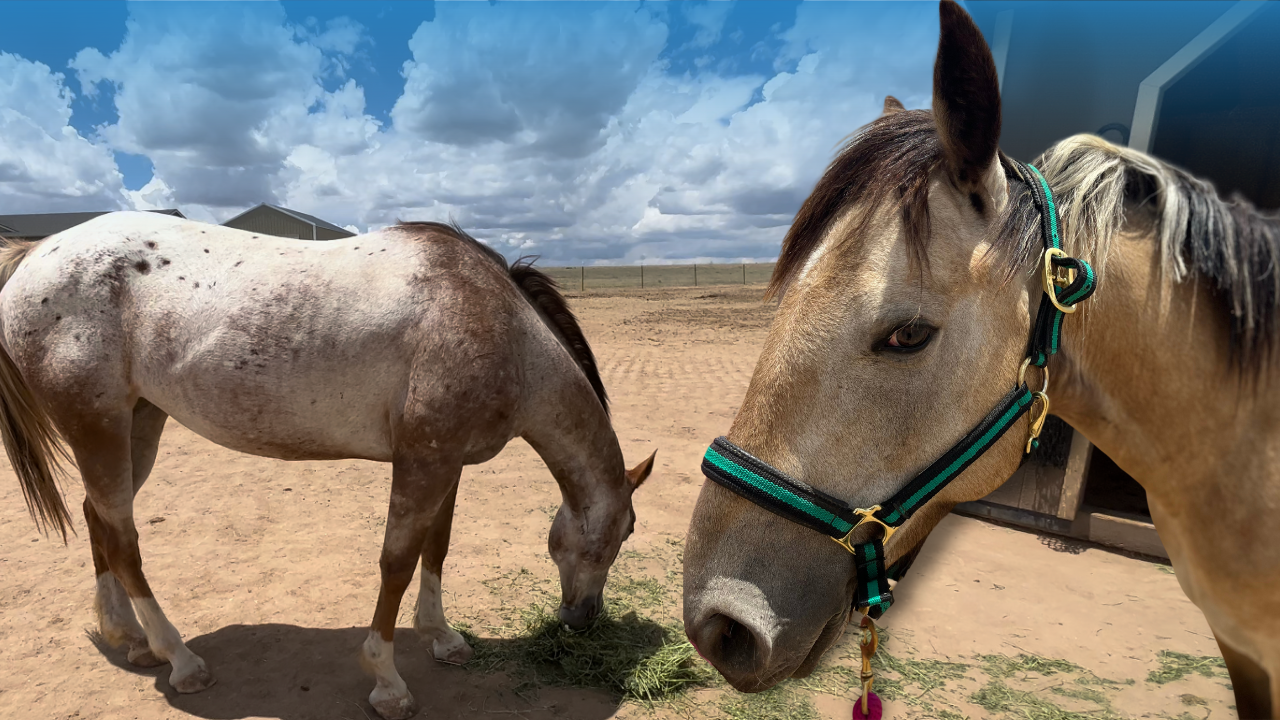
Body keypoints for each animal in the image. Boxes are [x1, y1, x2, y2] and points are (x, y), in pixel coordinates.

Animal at [0, 212, 655, 717]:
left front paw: (442, 638)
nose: (583, 619)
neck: (501, 327)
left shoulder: (448, 462)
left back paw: (130, 639)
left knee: (100, 520)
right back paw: (180, 659)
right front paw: (387, 681)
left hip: (138, 422)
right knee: (124, 540)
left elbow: (436, 548)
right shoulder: (423, 461)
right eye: (625, 532)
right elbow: (396, 563)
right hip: (98, 425)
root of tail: (36, 253)